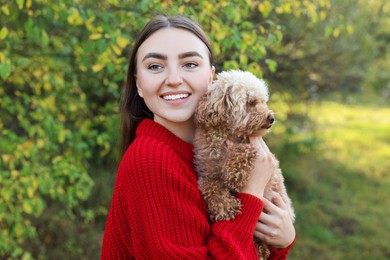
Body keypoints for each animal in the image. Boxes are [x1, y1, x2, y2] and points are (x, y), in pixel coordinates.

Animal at [193, 69, 294, 260]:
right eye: (250, 102)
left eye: (263, 101)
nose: (271, 118)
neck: (226, 136)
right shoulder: (206, 172)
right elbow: (209, 186)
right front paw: (225, 206)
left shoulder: (253, 147)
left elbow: (244, 150)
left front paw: (232, 175)